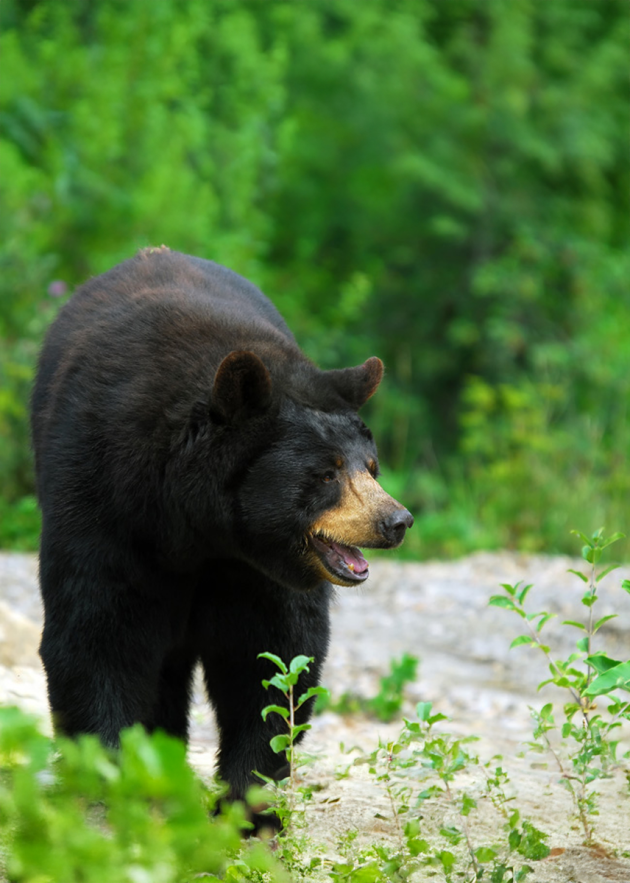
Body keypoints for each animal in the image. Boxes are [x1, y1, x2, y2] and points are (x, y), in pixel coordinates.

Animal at [30, 248, 412, 824]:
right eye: (326, 473)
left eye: (370, 467)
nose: (396, 521)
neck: (196, 526)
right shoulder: (103, 498)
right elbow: (96, 631)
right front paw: (112, 784)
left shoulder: (256, 568)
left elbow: (271, 657)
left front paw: (247, 806)